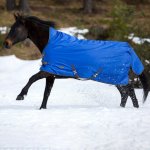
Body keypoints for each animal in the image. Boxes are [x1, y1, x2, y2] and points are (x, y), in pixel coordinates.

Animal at [2, 13, 149, 109]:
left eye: (16, 28)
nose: (6, 44)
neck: (52, 43)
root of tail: (129, 50)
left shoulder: (47, 71)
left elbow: (32, 78)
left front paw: (21, 95)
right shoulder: (51, 75)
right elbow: (46, 93)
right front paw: (42, 109)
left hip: (116, 77)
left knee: (129, 91)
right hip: (115, 78)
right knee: (126, 93)